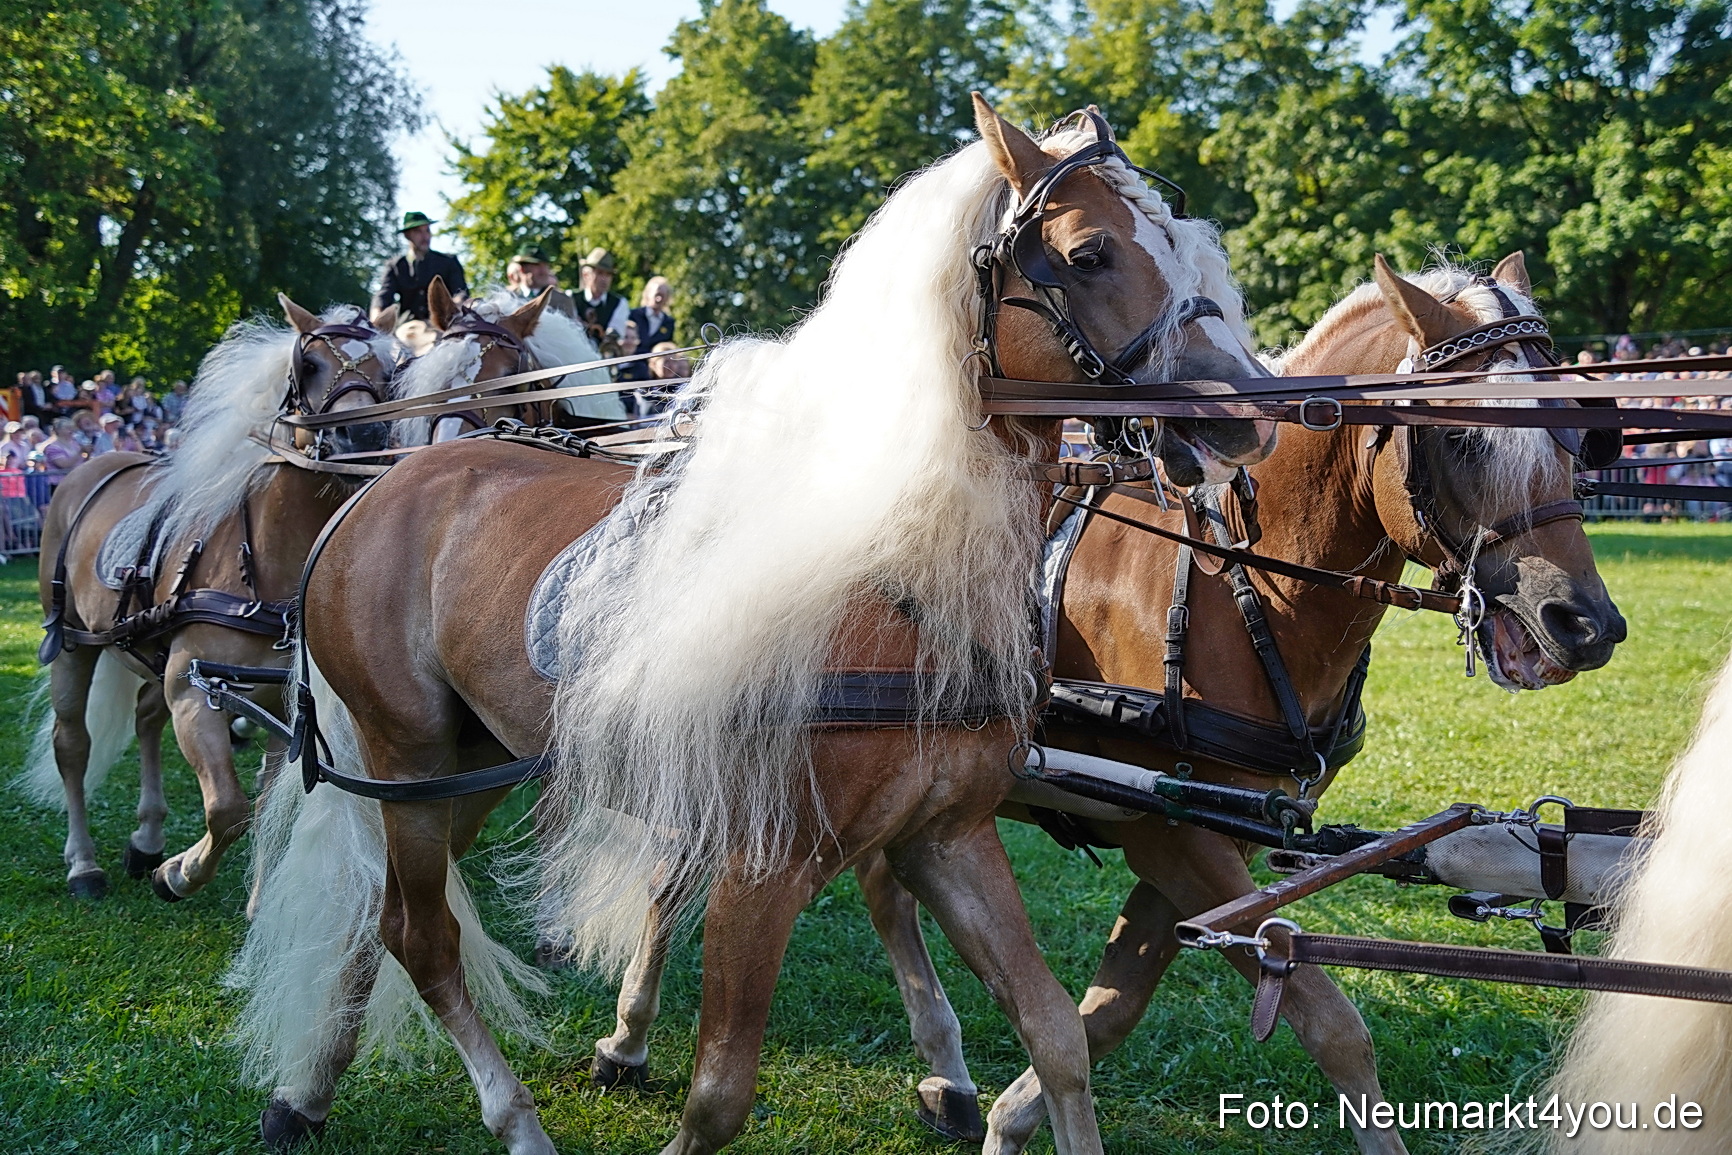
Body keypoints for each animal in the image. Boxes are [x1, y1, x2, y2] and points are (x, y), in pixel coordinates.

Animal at [20, 298, 400, 902]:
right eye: (308, 364)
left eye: (389, 369)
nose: (362, 435)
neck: (263, 562)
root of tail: (91, 468)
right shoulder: (193, 693)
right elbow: (229, 809)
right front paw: (179, 874)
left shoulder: (284, 712)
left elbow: (263, 805)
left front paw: (256, 898)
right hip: (73, 644)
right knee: (72, 744)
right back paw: (84, 864)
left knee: (145, 720)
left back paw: (146, 839)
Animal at [228, 95, 1278, 1155]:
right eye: (1090, 253)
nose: (1248, 418)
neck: (894, 572)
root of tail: (376, 489)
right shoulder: (761, 867)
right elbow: (720, 1093)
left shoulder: (948, 838)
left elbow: (1056, 1032)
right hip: (405, 755)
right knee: (424, 935)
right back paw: (510, 1118)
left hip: (464, 758)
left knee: (384, 918)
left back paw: (308, 1087)